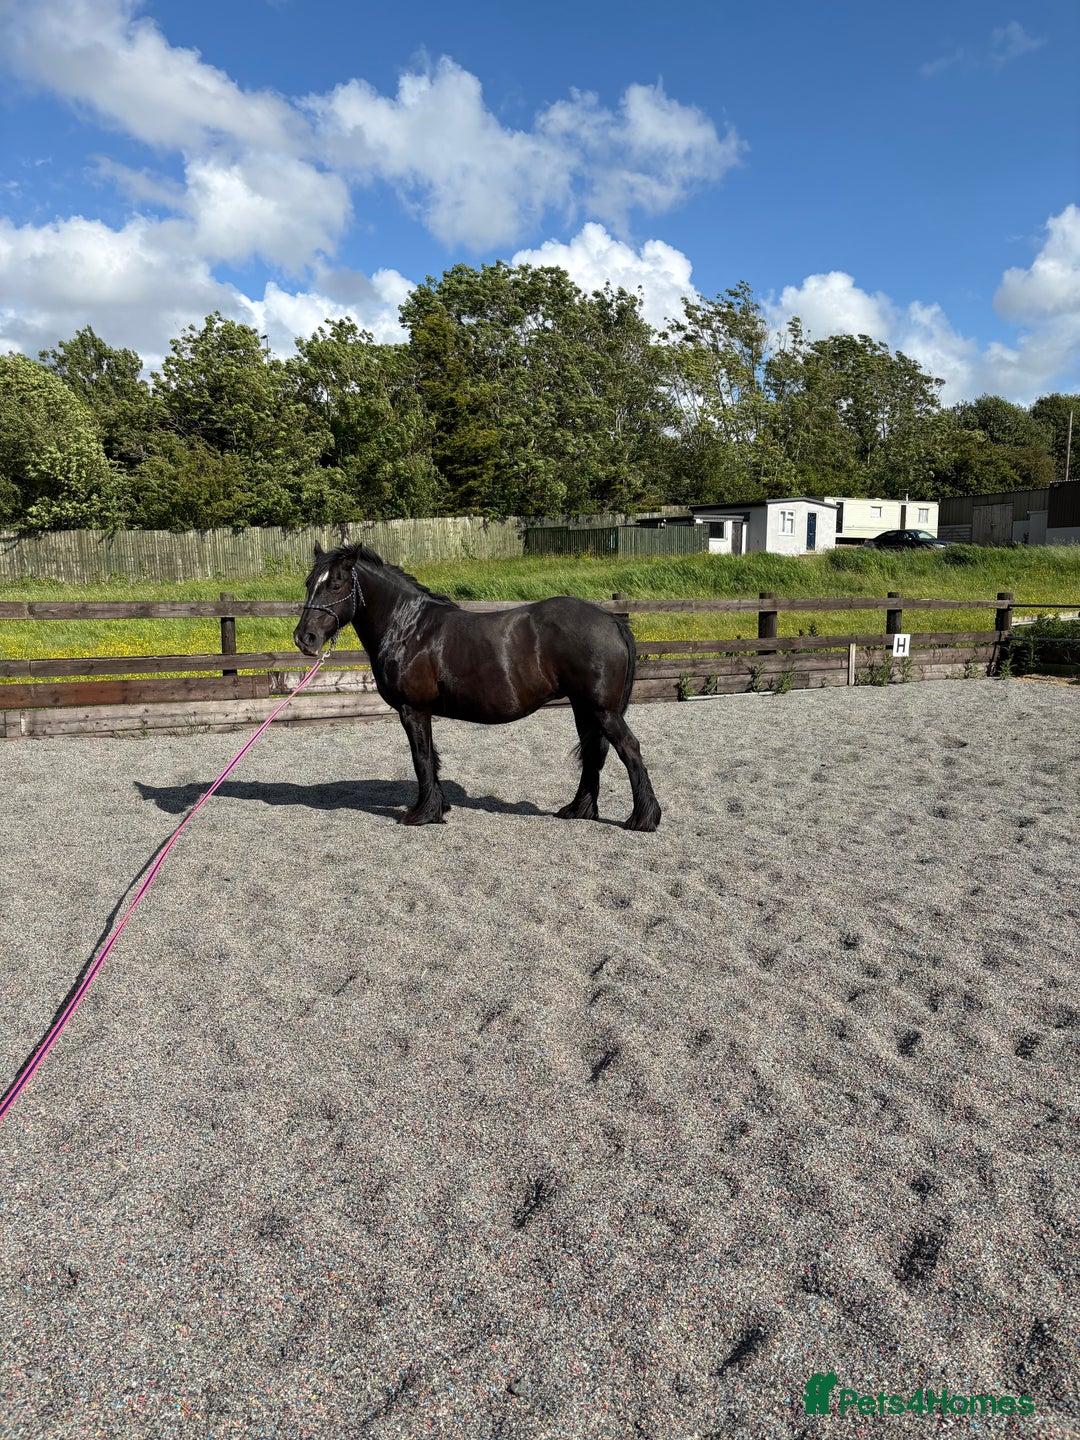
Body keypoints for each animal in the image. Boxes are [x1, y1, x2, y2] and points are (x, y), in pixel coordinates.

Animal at [293, 543, 661, 831]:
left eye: (336, 584)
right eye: (310, 583)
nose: (304, 638)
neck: (409, 627)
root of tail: (611, 620)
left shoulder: (413, 709)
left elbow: (421, 757)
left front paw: (422, 814)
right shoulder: (422, 712)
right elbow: (431, 758)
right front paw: (438, 807)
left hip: (602, 710)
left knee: (629, 749)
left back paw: (643, 819)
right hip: (584, 708)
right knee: (592, 753)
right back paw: (578, 810)